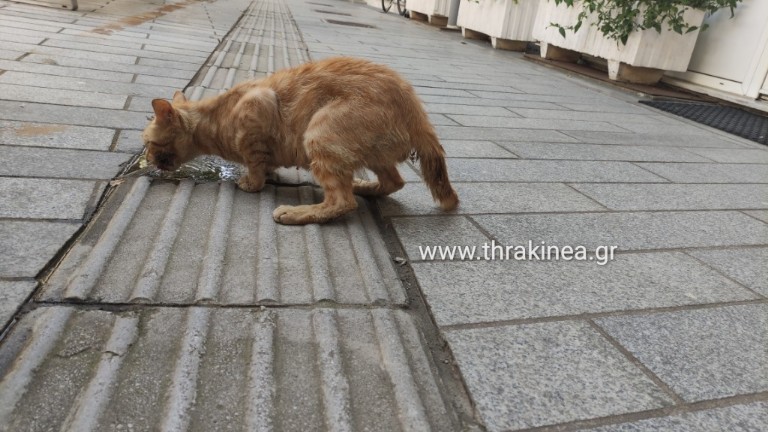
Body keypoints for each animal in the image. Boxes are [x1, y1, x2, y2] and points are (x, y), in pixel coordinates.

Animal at [142, 56, 460, 224]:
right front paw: (266, 172)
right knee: (394, 181)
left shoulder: (258, 106)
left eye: (148, 144)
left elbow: (255, 164)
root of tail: (415, 108)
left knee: (342, 202)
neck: (214, 120)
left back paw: (297, 213)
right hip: (372, 154)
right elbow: (263, 162)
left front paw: (251, 182)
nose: (146, 159)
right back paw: (364, 186)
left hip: (320, 133)